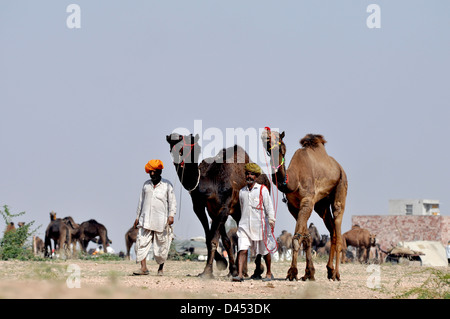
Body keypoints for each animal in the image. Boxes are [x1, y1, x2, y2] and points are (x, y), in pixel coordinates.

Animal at [166, 134, 268, 278]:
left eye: (189, 144)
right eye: (171, 143)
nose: (173, 137)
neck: (210, 182)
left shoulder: (224, 207)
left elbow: (214, 239)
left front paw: (208, 272)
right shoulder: (203, 208)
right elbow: (216, 238)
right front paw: (227, 266)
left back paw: (257, 271)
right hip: (238, 212)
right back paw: (243, 271)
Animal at [260, 129, 348, 282]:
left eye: (278, 139)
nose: (266, 133)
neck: (294, 180)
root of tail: (339, 167)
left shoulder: (307, 202)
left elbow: (296, 239)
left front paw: (292, 272)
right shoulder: (294, 207)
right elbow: (306, 238)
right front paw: (309, 273)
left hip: (341, 186)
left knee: (337, 220)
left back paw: (336, 274)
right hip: (321, 205)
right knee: (332, 230)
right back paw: (329, 270)